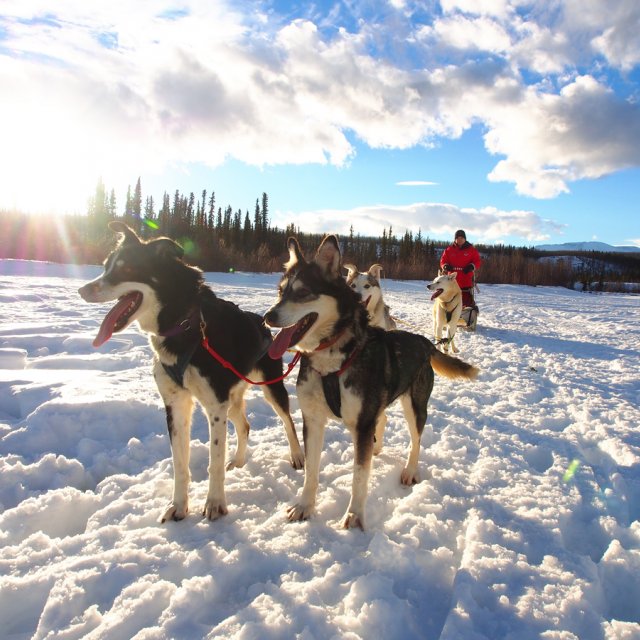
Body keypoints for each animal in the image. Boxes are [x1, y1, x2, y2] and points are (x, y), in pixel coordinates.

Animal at [77, 222, 302, 524]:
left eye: (126, 269)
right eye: (105, 266)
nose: (82, 290)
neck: (186, 324)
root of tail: (263, 324)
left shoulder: (214, 407)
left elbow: (213, 460)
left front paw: (215, 503)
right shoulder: (176, 405)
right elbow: (179, 464)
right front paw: (179, 505)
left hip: (269, 388)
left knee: (288, 422)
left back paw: (297, 456)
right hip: (231, 398)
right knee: (244, 425)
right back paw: (238, 461)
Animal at [262, 235, 478, 528]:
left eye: (303, 292)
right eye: (281, 291)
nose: (268, 317)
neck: (333, 360)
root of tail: (424, 342)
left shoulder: (363, 424)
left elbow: (359, 475)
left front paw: (354, 515)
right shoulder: (313, 420)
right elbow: (311, 471)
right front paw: (305, 505)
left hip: (415, 408)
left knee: (416, 441)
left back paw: (409, 470)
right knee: (383, 419)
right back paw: (377, 448)